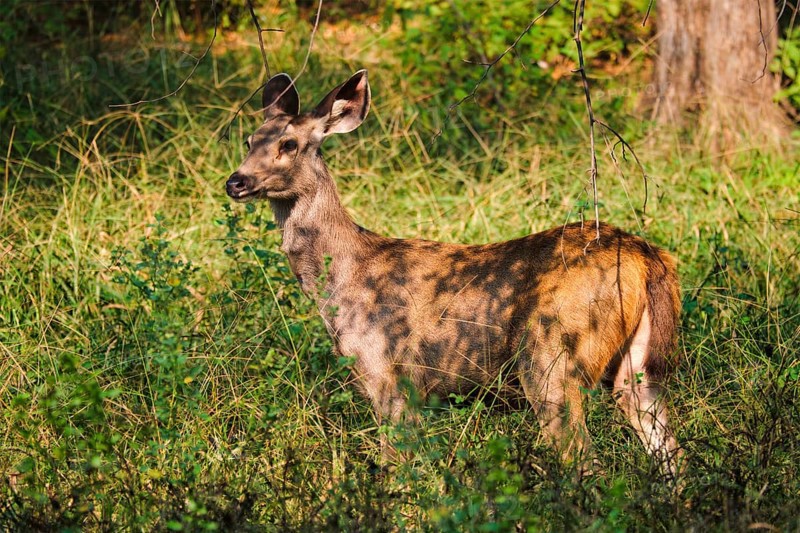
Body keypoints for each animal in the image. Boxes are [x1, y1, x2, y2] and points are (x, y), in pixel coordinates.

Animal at [226, 70, 683, 476]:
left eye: (289, 143)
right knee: (668, 450)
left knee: (585, 459)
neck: (341, 278)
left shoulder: (390, 377)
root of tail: (648, 257)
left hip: (552, 358)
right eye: (248, 140)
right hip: (636, 369)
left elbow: (397, 470)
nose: (236, 181)